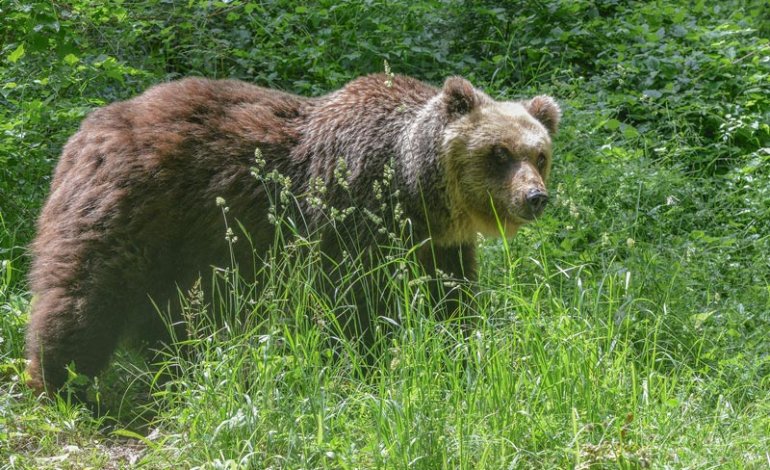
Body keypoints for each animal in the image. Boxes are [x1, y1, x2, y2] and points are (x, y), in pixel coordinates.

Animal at [25, 74, 560, 394]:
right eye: (499, 153)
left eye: (540, 154)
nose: (535, 197)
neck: (414, 190)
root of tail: (87, 128)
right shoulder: (351, 216)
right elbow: (354, 305)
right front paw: (365, 366)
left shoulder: (437, 245)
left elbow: (449, 299)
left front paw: (460, 352)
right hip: (130, 210)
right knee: (86, 293)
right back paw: (59, 381)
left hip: (182, 247)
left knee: (171, 313)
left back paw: (179, 369)